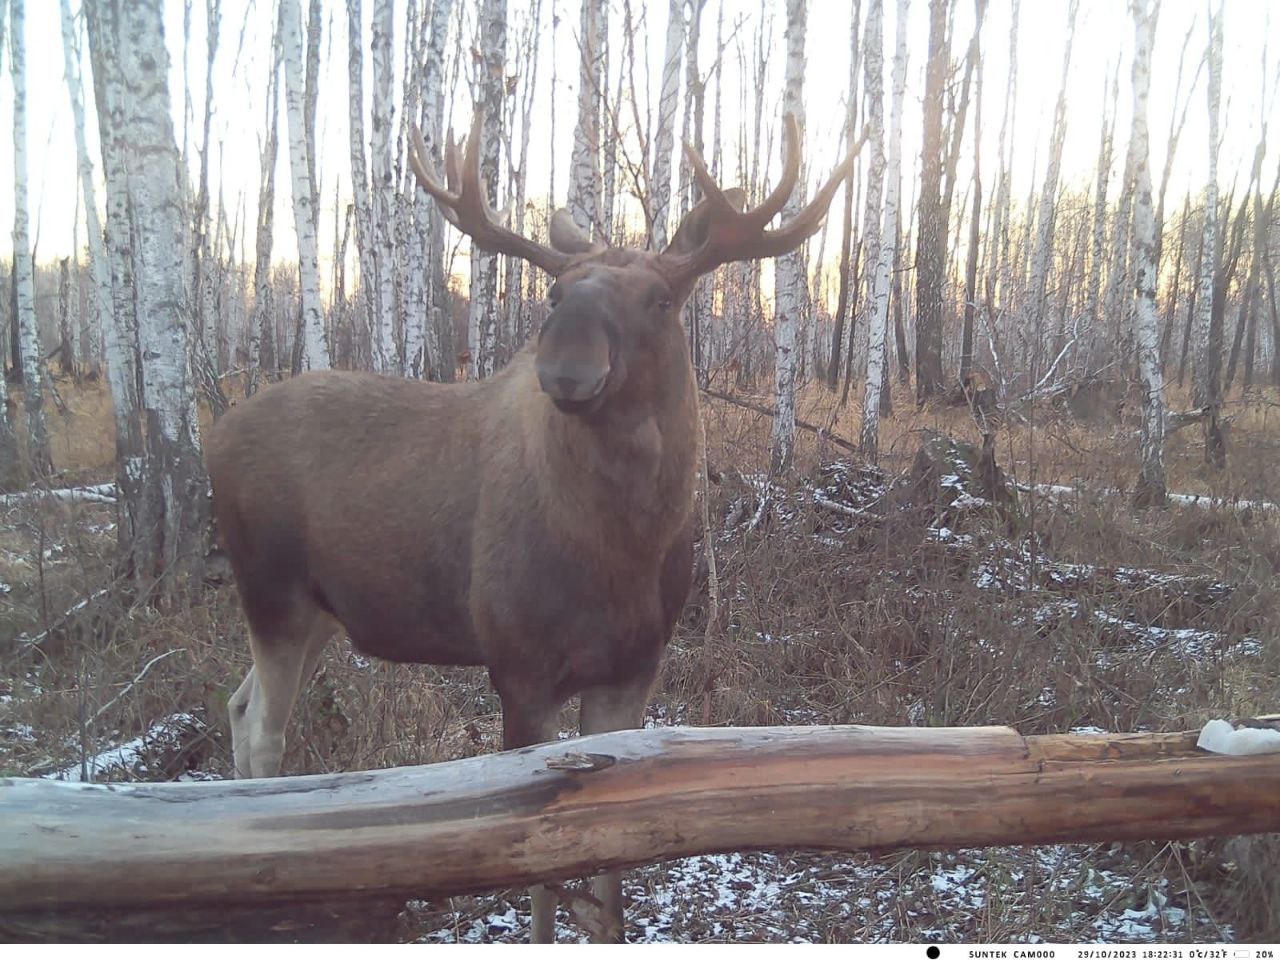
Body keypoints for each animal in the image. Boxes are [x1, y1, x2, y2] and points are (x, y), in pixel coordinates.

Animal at [204, 108, 855, 942]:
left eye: (662, 300)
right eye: (553, 292)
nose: (568, 367)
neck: (623, 552)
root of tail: (214, 435)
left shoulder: (633, 670)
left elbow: (608, 881)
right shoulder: (518, 665)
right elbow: (541, 871)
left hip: (319, 608)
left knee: (238, 704)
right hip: (271, 589)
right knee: (263, 726)